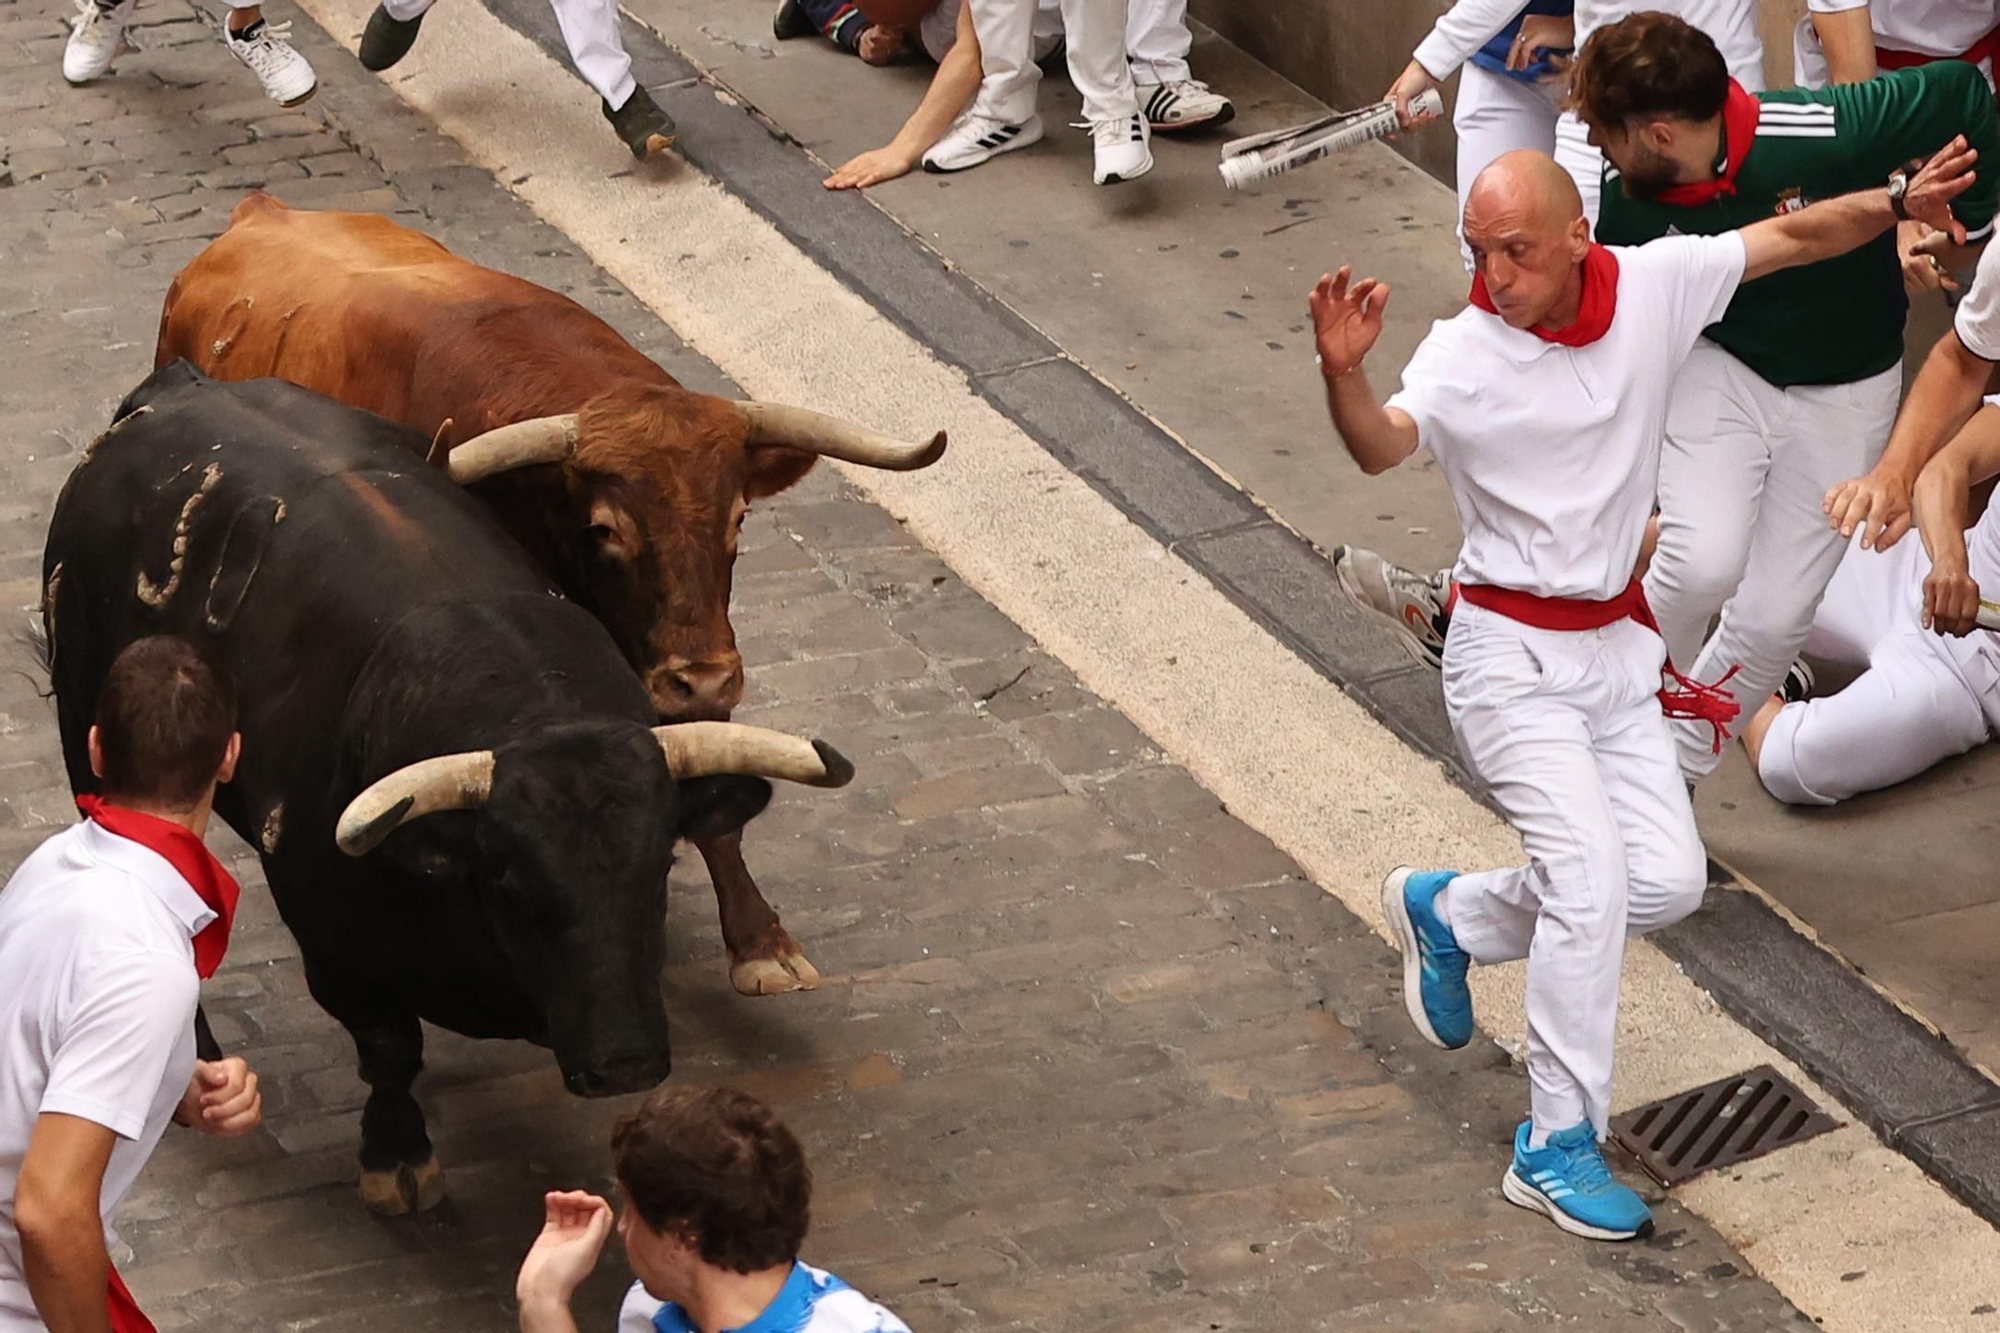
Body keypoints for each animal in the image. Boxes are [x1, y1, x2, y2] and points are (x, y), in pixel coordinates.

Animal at [43, 366, 848, 1216]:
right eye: (510, 877)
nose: (625, 1063)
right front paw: (396, 1155)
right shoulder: (334, 935)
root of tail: (180, 388)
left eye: (660, 864)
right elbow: (390, 1046)